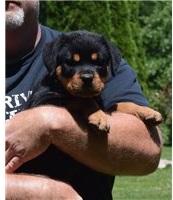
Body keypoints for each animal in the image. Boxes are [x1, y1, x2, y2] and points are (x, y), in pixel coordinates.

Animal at [28, 30, 162, 133]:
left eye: (99, 62)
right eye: (70, 62)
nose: (87, 78)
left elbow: (122, 104)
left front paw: (147, 111)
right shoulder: (45, 100)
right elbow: (84, 100)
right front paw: (98, 116)